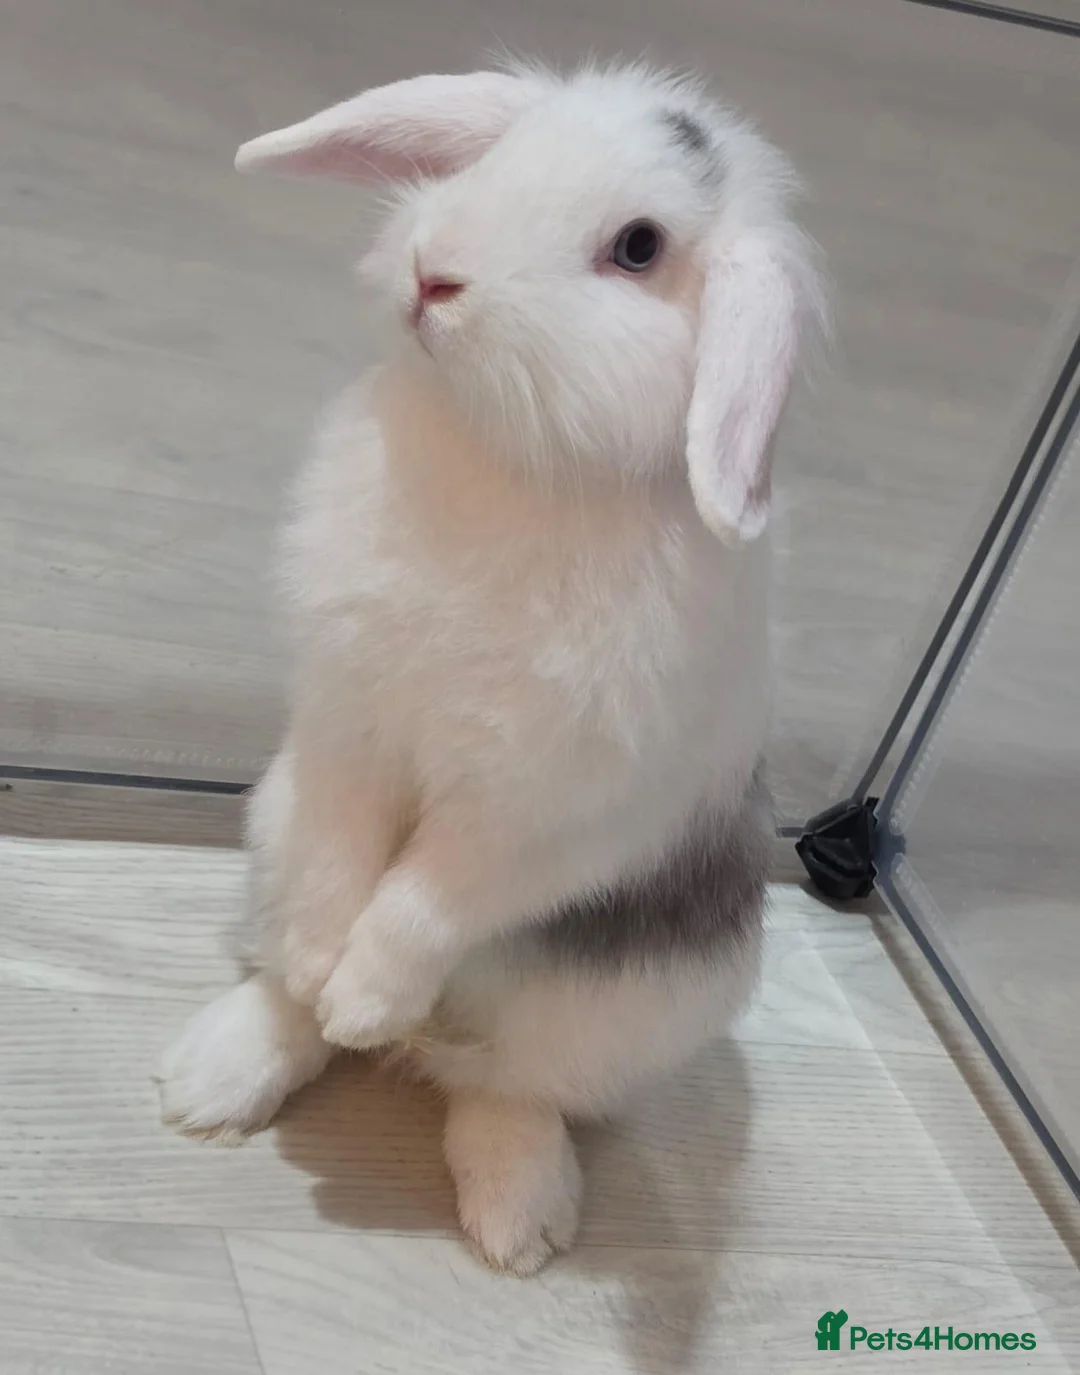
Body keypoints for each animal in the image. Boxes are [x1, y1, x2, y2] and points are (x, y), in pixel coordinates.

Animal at [156, 60, 824, 1276]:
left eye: (639, 247)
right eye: (502, 159)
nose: (436, 273)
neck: (514, 455)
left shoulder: (544, 814)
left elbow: (429, 899)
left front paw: (364, 997)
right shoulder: (347, 726)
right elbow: (345, 864)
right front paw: (328, 973)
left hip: (635, 1010)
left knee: (507, 1089)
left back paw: (519, 1217)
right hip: (268, 826)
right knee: (291, 990)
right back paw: (217, 1078)